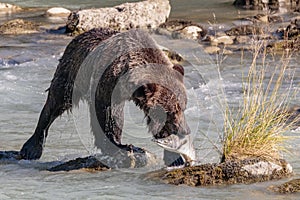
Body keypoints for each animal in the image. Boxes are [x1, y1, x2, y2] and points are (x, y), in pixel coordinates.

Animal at [20, 27, 195, 167]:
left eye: (183, 107)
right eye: (172, 110)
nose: (185, 130)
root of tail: (80, 35)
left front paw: (175, 157)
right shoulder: (109, 85)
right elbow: (110, 114)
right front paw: (122, 147)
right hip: (72, 73)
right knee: (56, 101)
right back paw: (31, 148)